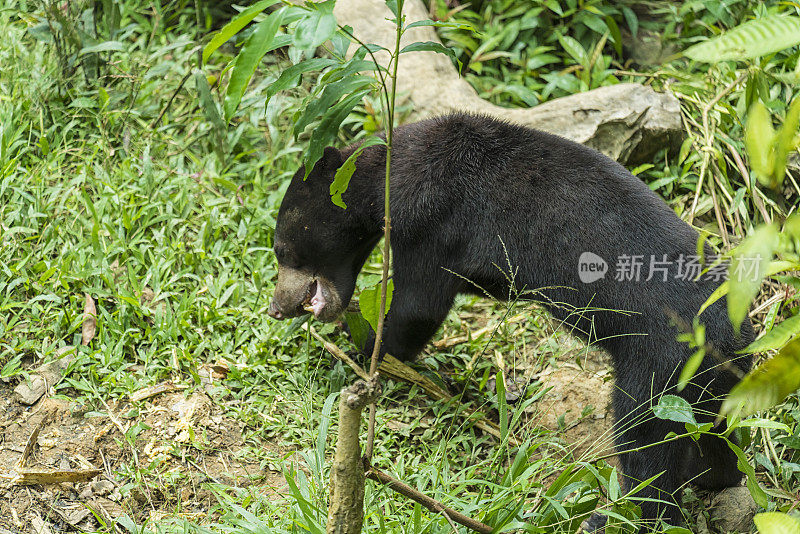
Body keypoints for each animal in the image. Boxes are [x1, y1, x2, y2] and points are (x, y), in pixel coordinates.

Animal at [266, 114, 752, 532]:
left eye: (282, 249)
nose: (277, 307)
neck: (388, 176)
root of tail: (731, 335)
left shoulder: (431, 223)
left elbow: (417, 306)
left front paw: (359, 352)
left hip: (660, 364)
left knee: (645, 446)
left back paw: (620, 517)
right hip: (714, 383)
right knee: (716, 436)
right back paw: (714, 477)